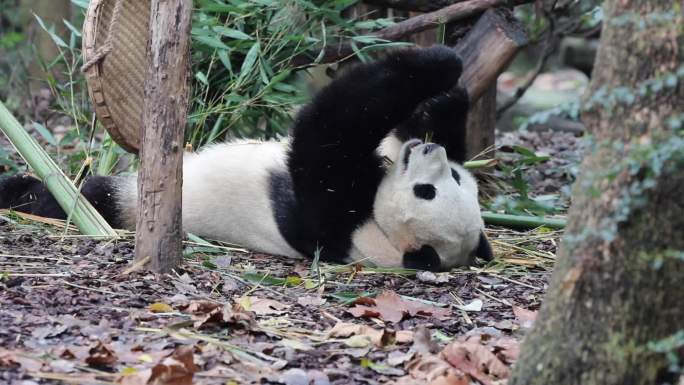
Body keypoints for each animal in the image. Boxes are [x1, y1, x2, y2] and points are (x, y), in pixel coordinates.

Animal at [0, 45, 492, 270]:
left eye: (426, 192)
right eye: (451, 179)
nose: (429, 152)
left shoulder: (335, 221)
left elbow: (326, 131)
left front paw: (435, 63)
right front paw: (446, 94)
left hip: (124, 205)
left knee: (84, 198)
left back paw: (28, 197)